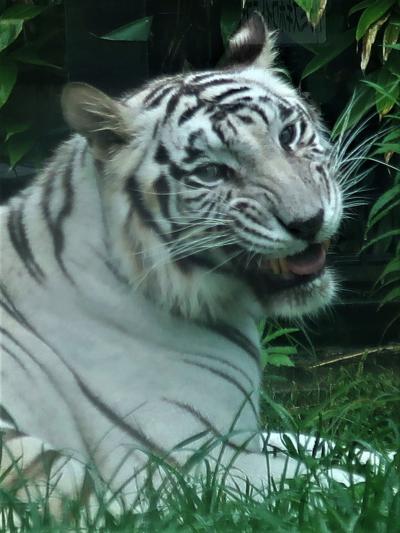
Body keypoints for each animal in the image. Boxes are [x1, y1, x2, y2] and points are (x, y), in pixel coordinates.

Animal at [0, 13, 382, 516]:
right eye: (211, 173)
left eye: (286, 135)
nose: (308, 222)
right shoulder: (187, 467)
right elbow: (331, 480)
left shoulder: (241, 432)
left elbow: (335, 447)